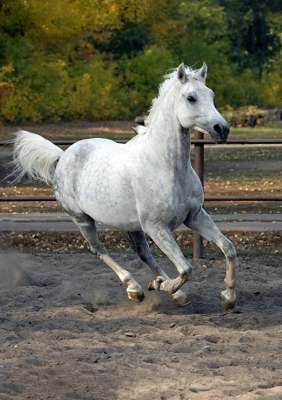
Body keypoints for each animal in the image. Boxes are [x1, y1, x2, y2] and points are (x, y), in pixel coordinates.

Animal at [13, 63, 238, 310]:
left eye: (211, 95)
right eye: (191, 97)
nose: (222, 129)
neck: (167, 166)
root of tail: (62, 156)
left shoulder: (194, 216)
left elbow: (228, 248)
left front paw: (227, 298)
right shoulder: (156, 227)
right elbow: (186, 269)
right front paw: (161, 286)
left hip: (132, 226)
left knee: (143, 253)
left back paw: (168, 290)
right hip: (82, 219)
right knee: (98, 249)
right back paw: (136, 289)